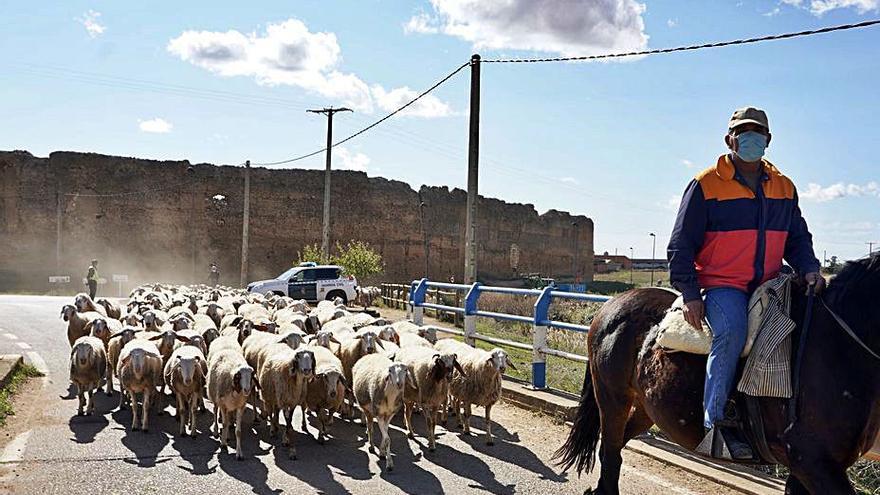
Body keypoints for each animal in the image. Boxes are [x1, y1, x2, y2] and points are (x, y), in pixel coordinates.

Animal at [552, 256, 880, 495]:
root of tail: (611, 305)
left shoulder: (809, 468)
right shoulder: (812, 462)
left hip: (647, 408)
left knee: (617, 446)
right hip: (612, 400)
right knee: (610, 451)